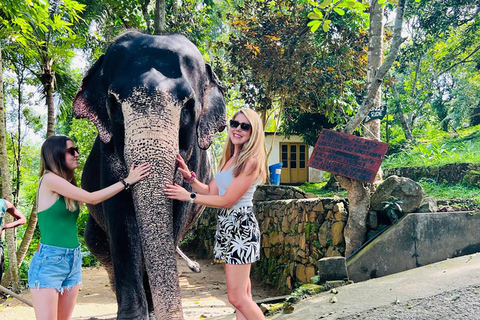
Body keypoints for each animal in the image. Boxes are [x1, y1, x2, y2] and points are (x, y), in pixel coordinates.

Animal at [72, 30, 227, 320]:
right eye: (113, 103)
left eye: (188, 106)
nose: (196, 268)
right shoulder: (108, 156)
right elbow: (121, 220)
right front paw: (133, 316)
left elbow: (176, 215)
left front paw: (151, 310)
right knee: (96, 243)